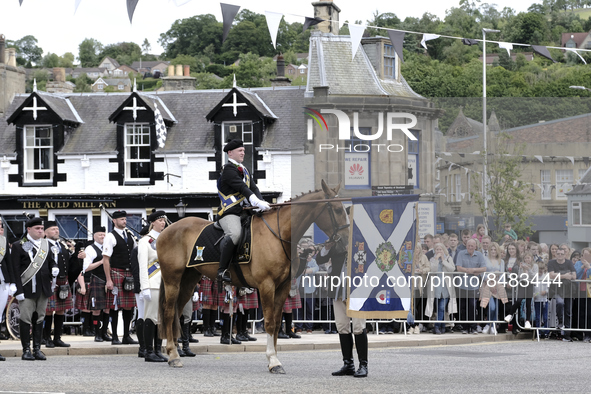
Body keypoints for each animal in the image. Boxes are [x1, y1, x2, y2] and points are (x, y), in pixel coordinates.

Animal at [158, 180, 352, 370]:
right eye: (337, 209)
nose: (346, 240)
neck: (279, 234)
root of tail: (167, 229)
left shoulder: (283, 286)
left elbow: (276, 322)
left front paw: (274, 357)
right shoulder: (266, 285)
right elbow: (269, 322)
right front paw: (273, 360)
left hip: (188, 281)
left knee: (177, 312)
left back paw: (176, 351)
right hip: (172, 279)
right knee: (169, 312)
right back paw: (173, 355)